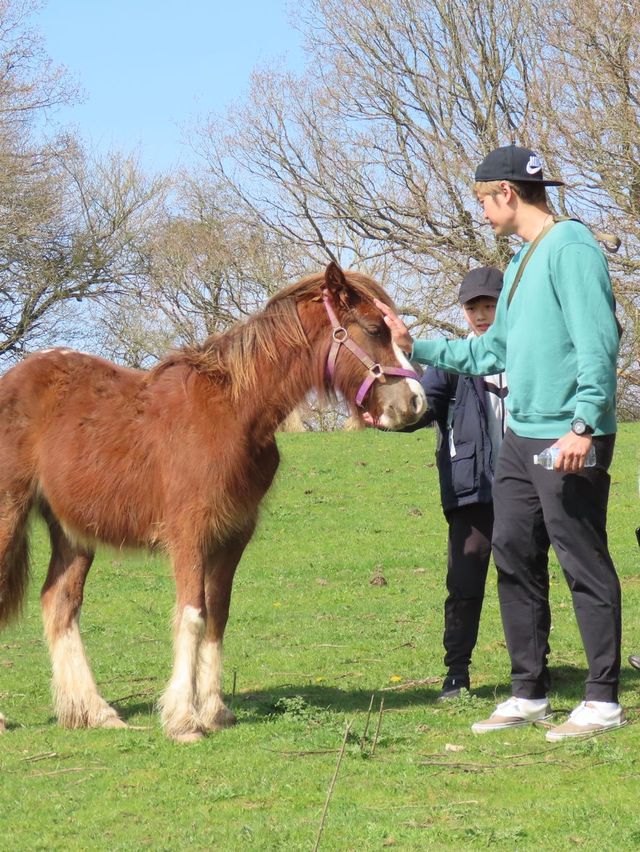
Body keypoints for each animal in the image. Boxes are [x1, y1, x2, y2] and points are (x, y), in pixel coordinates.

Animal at [0, 260, 424, 740]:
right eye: (374, 329)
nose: (415, 403)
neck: (234, 413)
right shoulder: (189, 533)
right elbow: (193, 614)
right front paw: (184, 719)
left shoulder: (234, 534)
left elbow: (218, 614)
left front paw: (215, 710)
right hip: (10, 510)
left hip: (72, 530)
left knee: (60, 603)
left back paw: (93, 711)